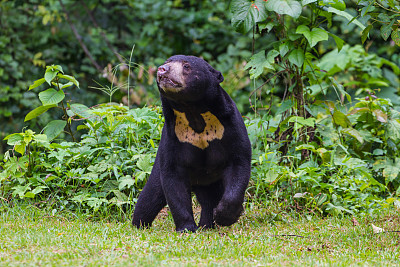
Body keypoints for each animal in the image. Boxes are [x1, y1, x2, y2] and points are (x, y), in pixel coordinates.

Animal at [133, 55, 252, 232]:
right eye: (167, 62)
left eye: (187, 66)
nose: (162, 69)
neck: (193, 111)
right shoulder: (172, 136)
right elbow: (173, 180)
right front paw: (187, 228)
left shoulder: (231, 126)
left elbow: (238, 164)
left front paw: (226, 216)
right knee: (150, 196)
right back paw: (139, 224)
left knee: (209, 199)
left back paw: (207, 225)